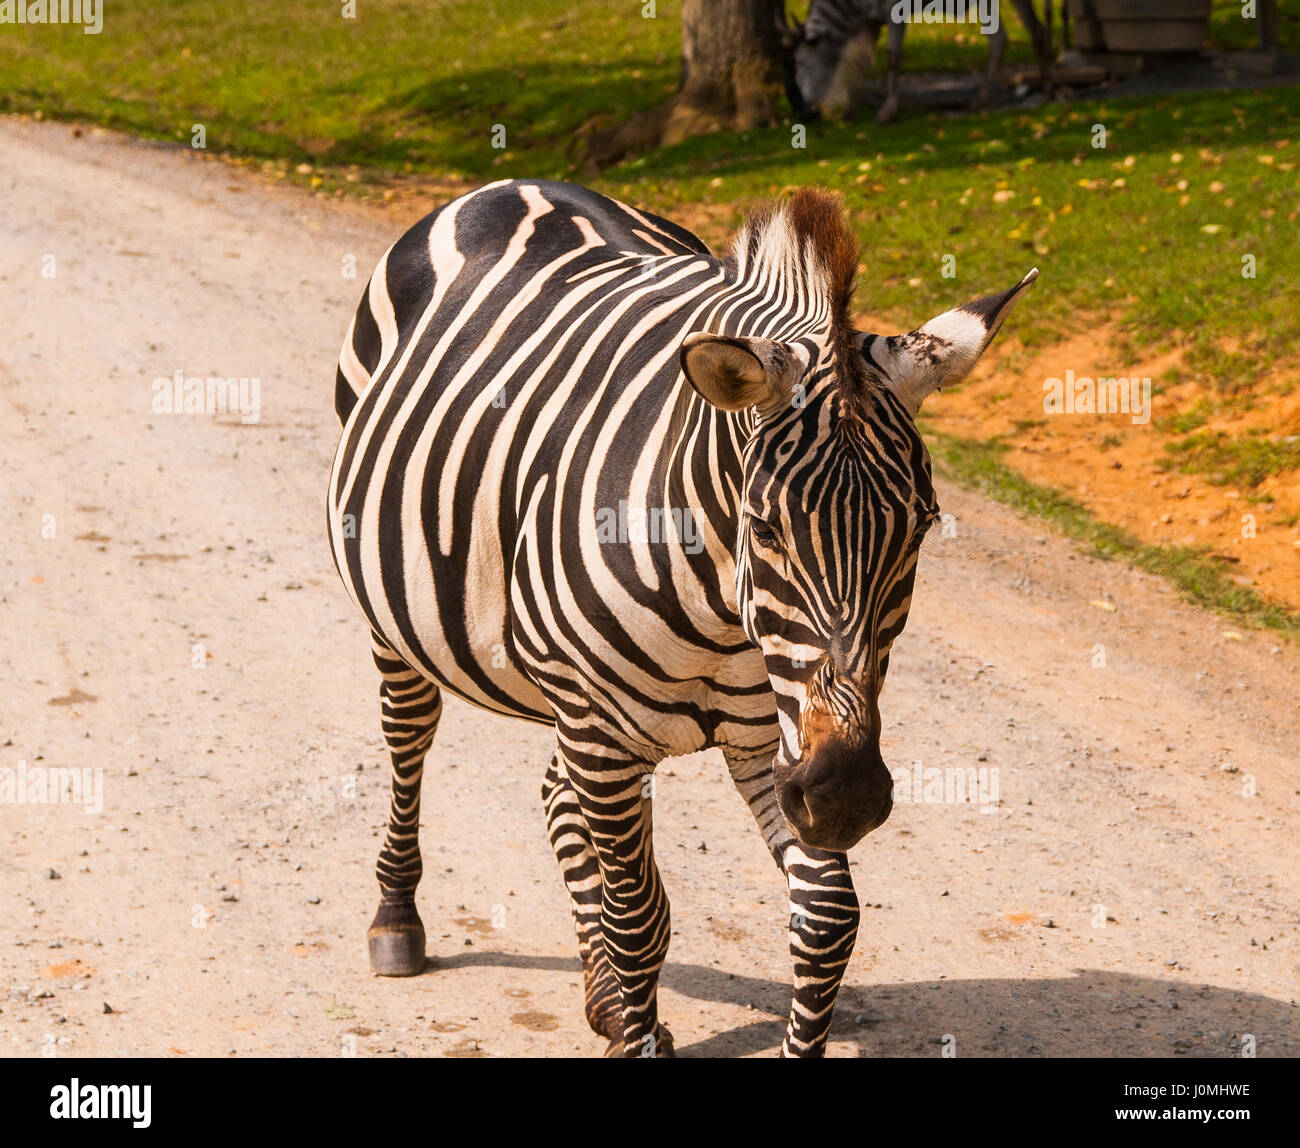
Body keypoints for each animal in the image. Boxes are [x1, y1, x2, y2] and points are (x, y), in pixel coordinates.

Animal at [327, 178, 1035, 1057]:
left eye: (922, 526)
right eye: (765, 527)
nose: (847, 797)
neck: (724, 618)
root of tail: (520, 184)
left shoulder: (772, 738)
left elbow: (826, 921)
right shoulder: (610, 732)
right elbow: (641, 921)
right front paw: (636, 1020)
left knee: (555, 791)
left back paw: (603, 998)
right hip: (410, 629)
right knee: (409, 740)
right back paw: (398, 918)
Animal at [781, 0, 1054, 125]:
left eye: (800, 63)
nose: (804, 111)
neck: (853, 10)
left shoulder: (894, 11)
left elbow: (892, 56)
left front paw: (887, 110)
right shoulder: (871, 21)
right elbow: (862, 63)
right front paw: (850, 112)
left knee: (1033, 31)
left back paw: (1046, 90)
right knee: (1009, 38)